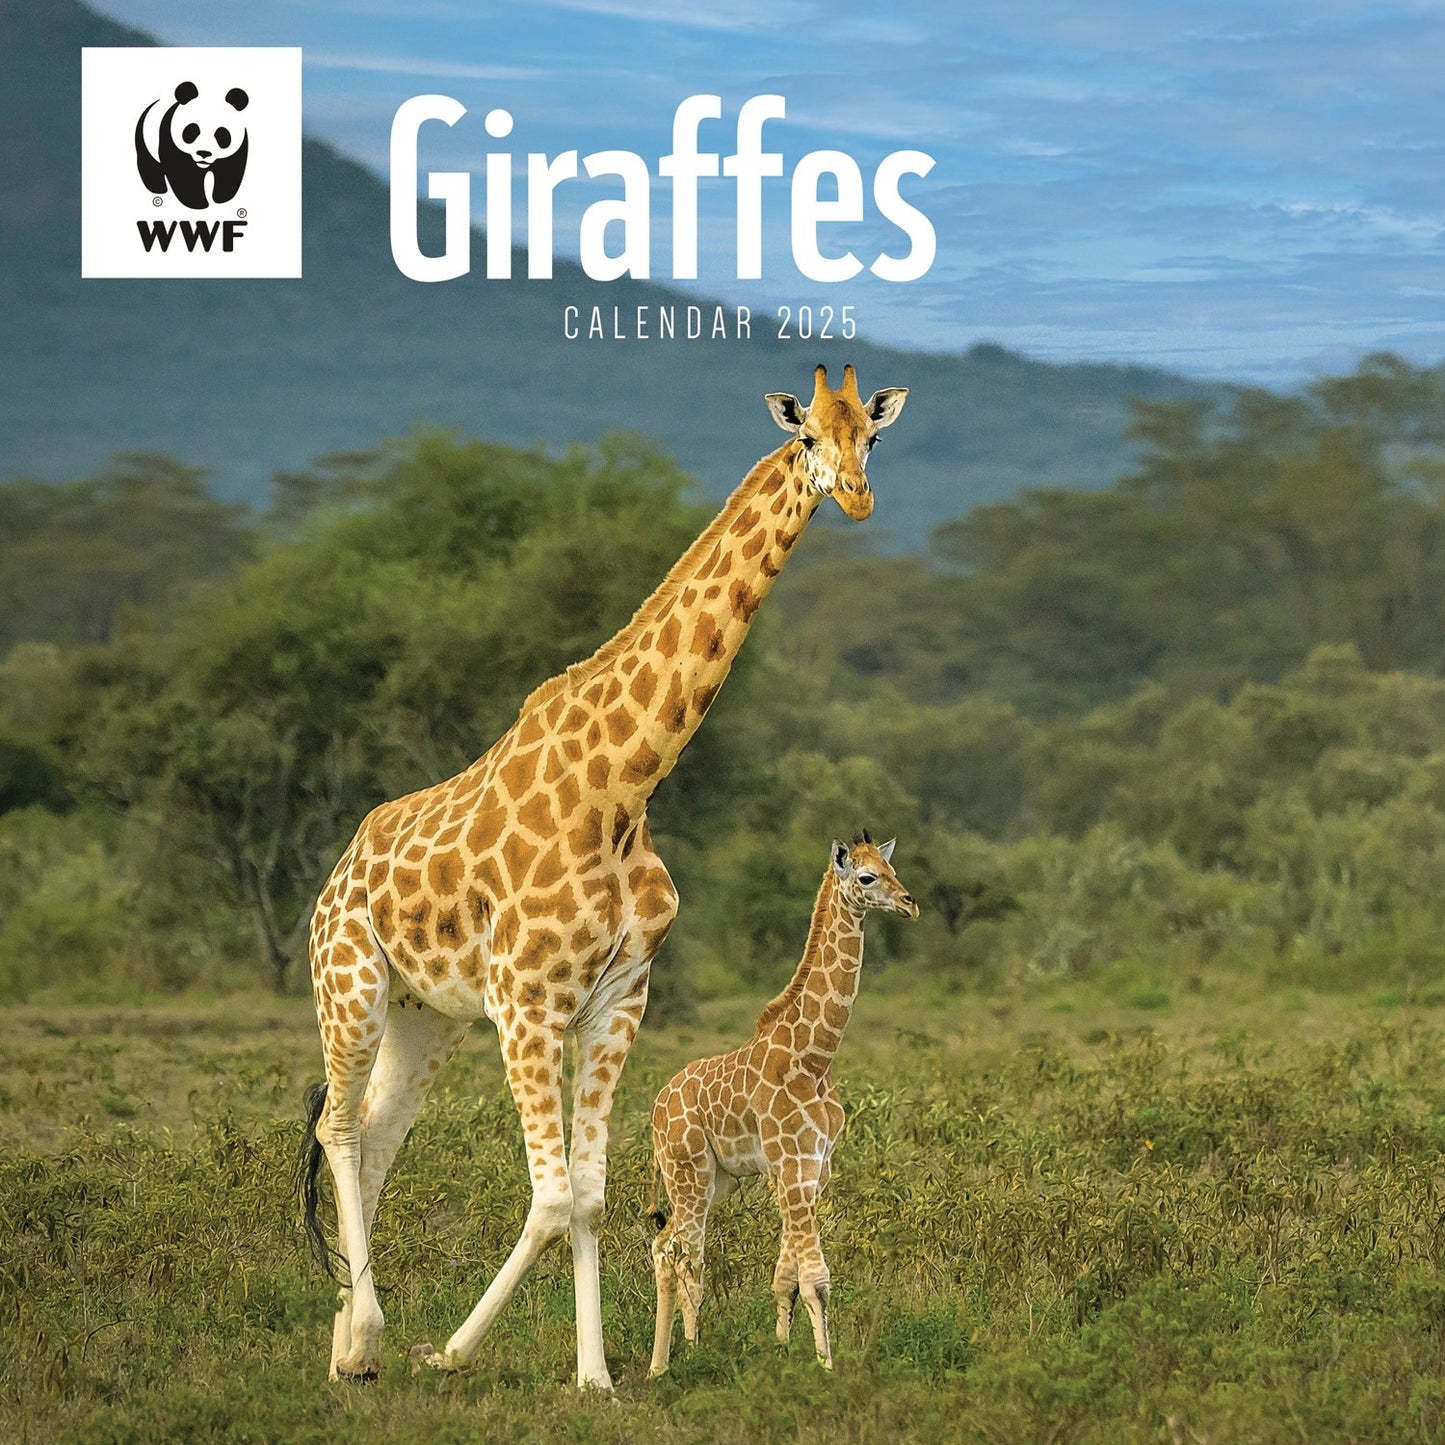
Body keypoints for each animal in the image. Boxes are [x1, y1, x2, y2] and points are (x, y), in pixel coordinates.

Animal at [646, 833, 918, 1376]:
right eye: (867, 877)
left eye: (892, 868)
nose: (909, 903)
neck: (815, 1057)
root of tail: (657, 1108)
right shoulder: (792, 1165)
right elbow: (816, 1279)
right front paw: (826, 1368)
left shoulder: (813, 1169)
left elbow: (787, 1279)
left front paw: (783, 1351)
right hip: (686, 1172)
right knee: (676, 1253)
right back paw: (663, 1366)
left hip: (717, 1181)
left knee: (676, 1251)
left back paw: (688, 1349)